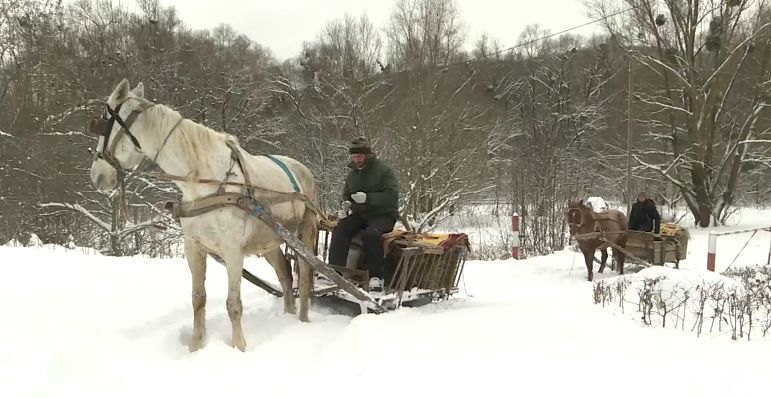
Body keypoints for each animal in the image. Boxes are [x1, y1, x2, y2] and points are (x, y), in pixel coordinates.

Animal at [89, 77, 318, 352]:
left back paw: (302, 319)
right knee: (284, 274)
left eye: (103, 123)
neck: (206, 181)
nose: (96, 175)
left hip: (304, 233)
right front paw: (196, 346)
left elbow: (233, 304)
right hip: (271, 241)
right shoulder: (193, 248)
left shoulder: (232, 251)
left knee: (304, 275)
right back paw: (288, 314)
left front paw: (238, 347)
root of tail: (302, 168)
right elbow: (198, 299)